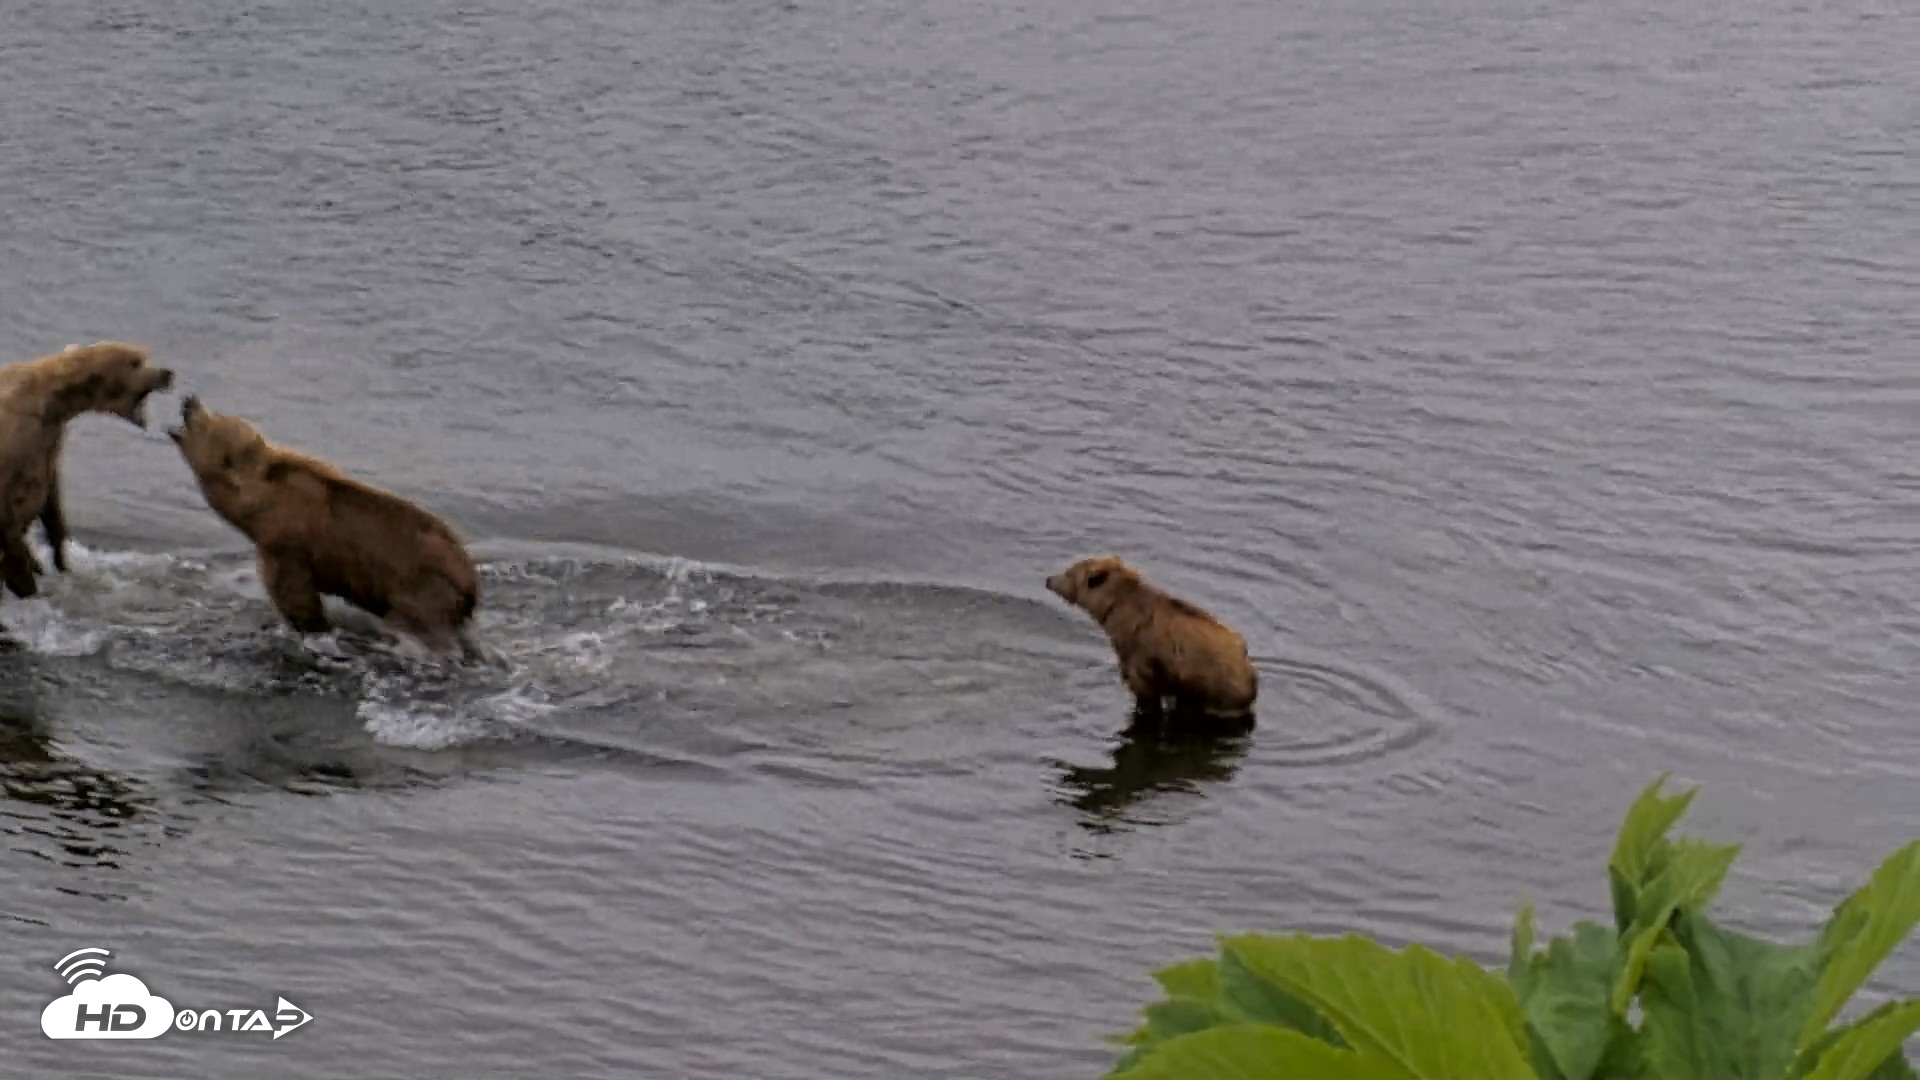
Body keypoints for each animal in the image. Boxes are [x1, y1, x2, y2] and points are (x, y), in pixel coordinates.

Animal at [0, 341, 176, 603]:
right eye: (135, 362)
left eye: (144, 356)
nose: (166, 373)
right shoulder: (17, 440)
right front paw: (27, 582)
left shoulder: (50, 442)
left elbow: (52, 502)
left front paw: (61, 558)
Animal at [167, 395, 483, 662]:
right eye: (216, 412)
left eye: (211, 419)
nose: (189, 400)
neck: (261, 506)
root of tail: (471, 581)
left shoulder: (286, 543)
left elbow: (295, 595)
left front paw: (313, 630)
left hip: (425, 588)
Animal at [1045, 554, 1258, 726]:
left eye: (1068, 572)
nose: (1048, 579)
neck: (1116, 607)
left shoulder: (1140, 651)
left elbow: (1144, 690)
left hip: (1214, 687)